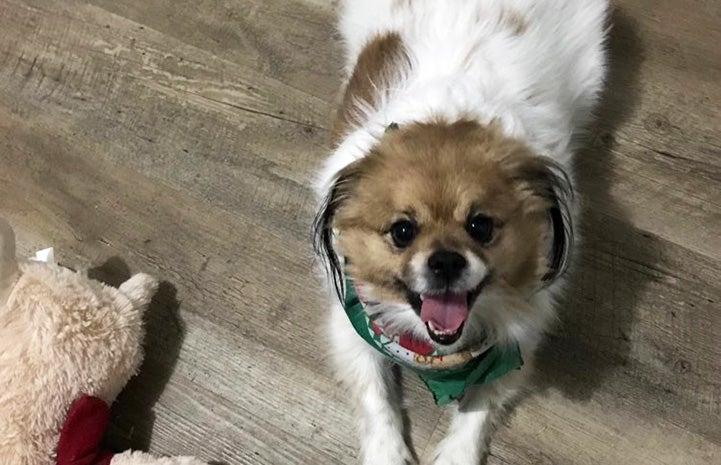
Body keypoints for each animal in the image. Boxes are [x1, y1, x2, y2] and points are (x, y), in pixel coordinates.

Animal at [314, 1, 608, 462]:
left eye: (480, 226)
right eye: (402, 231)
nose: (446, 261)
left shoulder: (517, 342)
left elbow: (478, 407)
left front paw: (456, 453)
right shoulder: (353, 325)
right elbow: (376, 397)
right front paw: (388, 453)